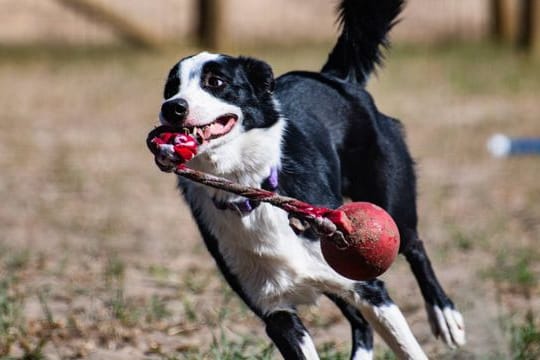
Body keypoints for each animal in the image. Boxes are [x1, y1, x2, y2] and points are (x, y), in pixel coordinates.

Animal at [155, 0, 464, 358]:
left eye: (215, 82)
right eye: (171, 88)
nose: (172, 107)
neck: (250, 191)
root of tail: (332, 78)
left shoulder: (370, 288)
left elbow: (409, 348)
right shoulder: (276, 314)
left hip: (390, 202)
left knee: (415, 246)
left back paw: (445, 315)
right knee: (360, 323)